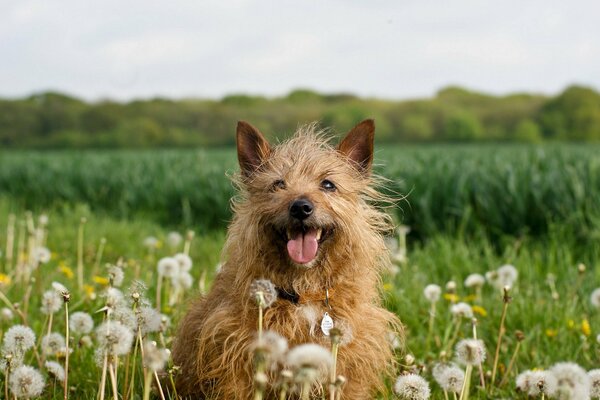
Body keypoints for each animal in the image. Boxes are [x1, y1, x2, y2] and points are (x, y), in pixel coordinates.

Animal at [171, 120, 400, 398]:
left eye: (328, 184)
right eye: (278, 184)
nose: (300, 207)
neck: (304, 292)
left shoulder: (350, 370)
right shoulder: (236, 363)